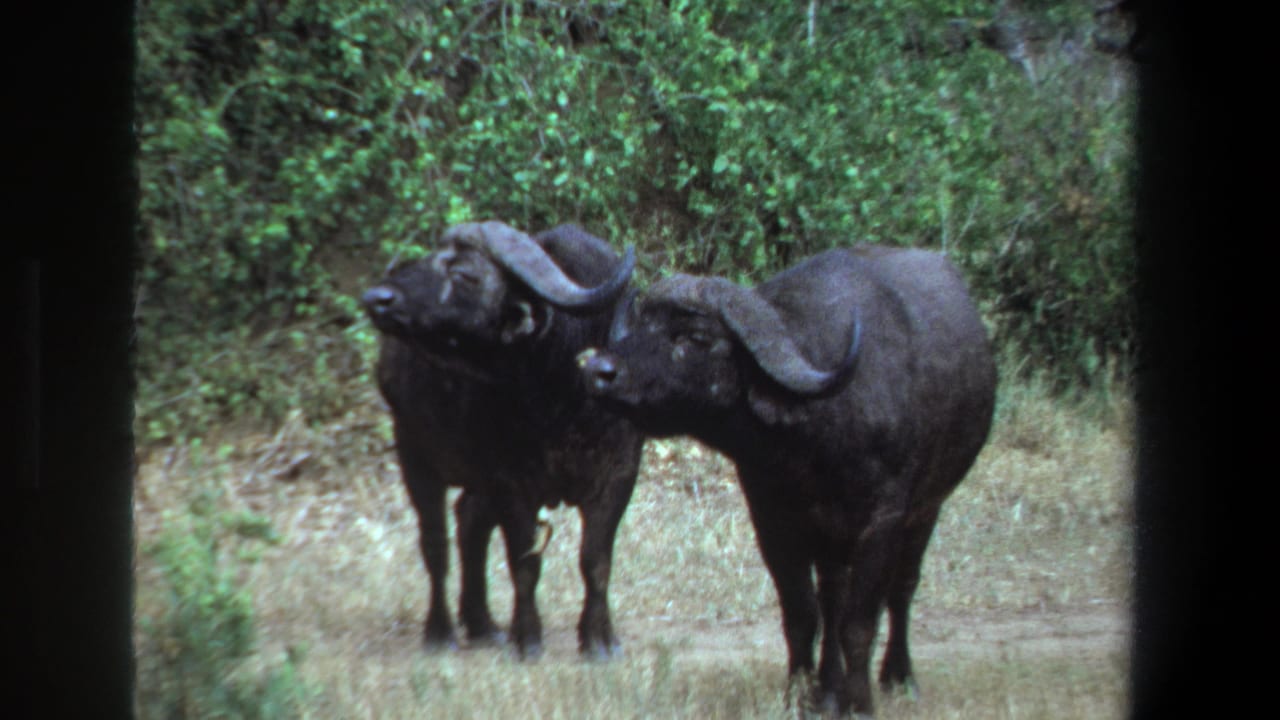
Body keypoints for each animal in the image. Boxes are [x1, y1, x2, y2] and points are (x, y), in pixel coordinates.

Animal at [363, 221, 643, 659]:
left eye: (464, 273)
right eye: (431, 258)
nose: (378, 298)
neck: (563, 393)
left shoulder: (618, 477)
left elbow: (595, 561)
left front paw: (599, 640)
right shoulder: (513, 482)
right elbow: (524, 563)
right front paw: (527, 638)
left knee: (469, 522)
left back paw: (481, 623)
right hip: (414, 454)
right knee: (436, 545)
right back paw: (440, 632)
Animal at [580, 246, 996, 715]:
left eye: (694, 337)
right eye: (642, 325)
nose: (599, 370)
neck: (814, 440)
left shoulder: (882, 522)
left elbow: (860, 622)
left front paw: (860, 703)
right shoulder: (774, 521)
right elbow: (802, 616)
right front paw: (801, 695)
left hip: (927, 510)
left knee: (902, 590)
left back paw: (898, 676)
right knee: (832, 599)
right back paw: (830, 689)